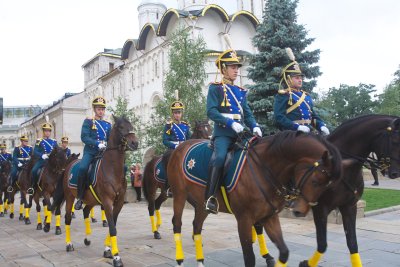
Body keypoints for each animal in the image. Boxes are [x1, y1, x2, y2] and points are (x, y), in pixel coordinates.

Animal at [50, 116, 138, 267]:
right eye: (120, 127)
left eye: (131, 126)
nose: (135, 143)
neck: (112, 169)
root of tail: (68, 166)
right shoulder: (107, 202)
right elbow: (112, 227)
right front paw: (116, 258)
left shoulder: (119, 202)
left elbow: (113, 224)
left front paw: (107, 250)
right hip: (69, 197)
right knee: (67, 218)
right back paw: (69, 244)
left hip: (91, 199)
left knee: (86, 211)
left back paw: (87, 239)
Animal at [167, 132, 342, 267]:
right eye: (315, 181)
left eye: (327, 185)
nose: (300, 210)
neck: (263, 168)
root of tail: (180, 146)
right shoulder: (244, 219)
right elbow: (250, 258)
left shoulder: (269, 216)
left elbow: (284, 252)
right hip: (179, 195)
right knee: (177, 223)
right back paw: (180, 260)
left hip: (202, 204)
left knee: (197, 226)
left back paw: (200, 261)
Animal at [298, 115, 400, 267]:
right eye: (395, 141)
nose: (395, 173)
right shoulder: (320, 208)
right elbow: (322, 244)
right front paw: (306, 263)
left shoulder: (349, 206)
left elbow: (352, 243)